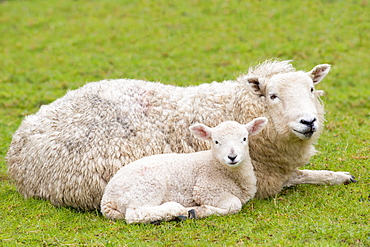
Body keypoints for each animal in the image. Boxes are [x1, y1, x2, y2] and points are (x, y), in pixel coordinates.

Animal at [4, 58, 354, 209]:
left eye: (312, 89)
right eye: (273, 96)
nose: (309, 122)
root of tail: (20, 138)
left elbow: (304, 174)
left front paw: (339, 176)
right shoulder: (263, 181)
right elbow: (296, 177)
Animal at [101, 117, 268, 224]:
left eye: (244, 138)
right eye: (216, 141)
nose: (232, 157)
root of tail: (107, 200)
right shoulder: (206, 189)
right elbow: (234, 204)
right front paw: (201, 210)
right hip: (146, 186)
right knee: (134, 214)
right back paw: (176, 209)